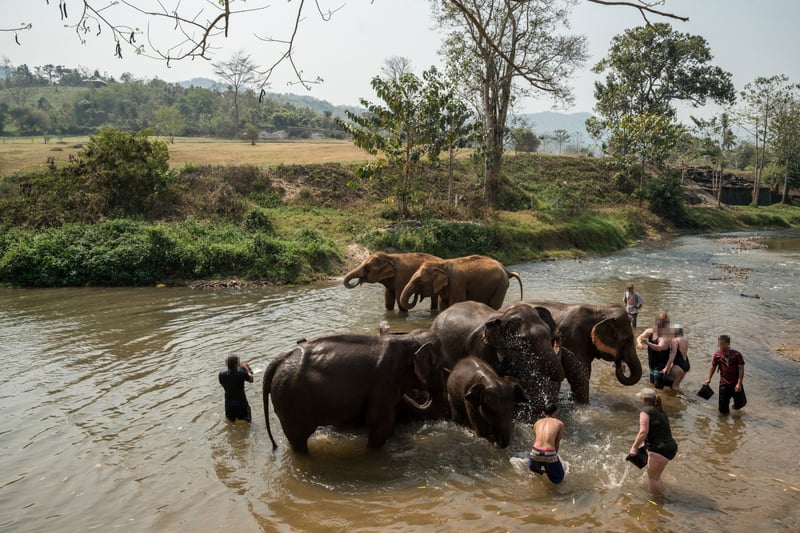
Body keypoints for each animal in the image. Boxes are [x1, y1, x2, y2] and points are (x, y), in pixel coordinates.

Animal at [263, 331, 439, 453]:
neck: (407, 340)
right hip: (291, 398)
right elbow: (380, 425)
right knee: (298, 438)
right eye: (440, 365)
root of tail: (278, 360)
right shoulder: (384, 382)